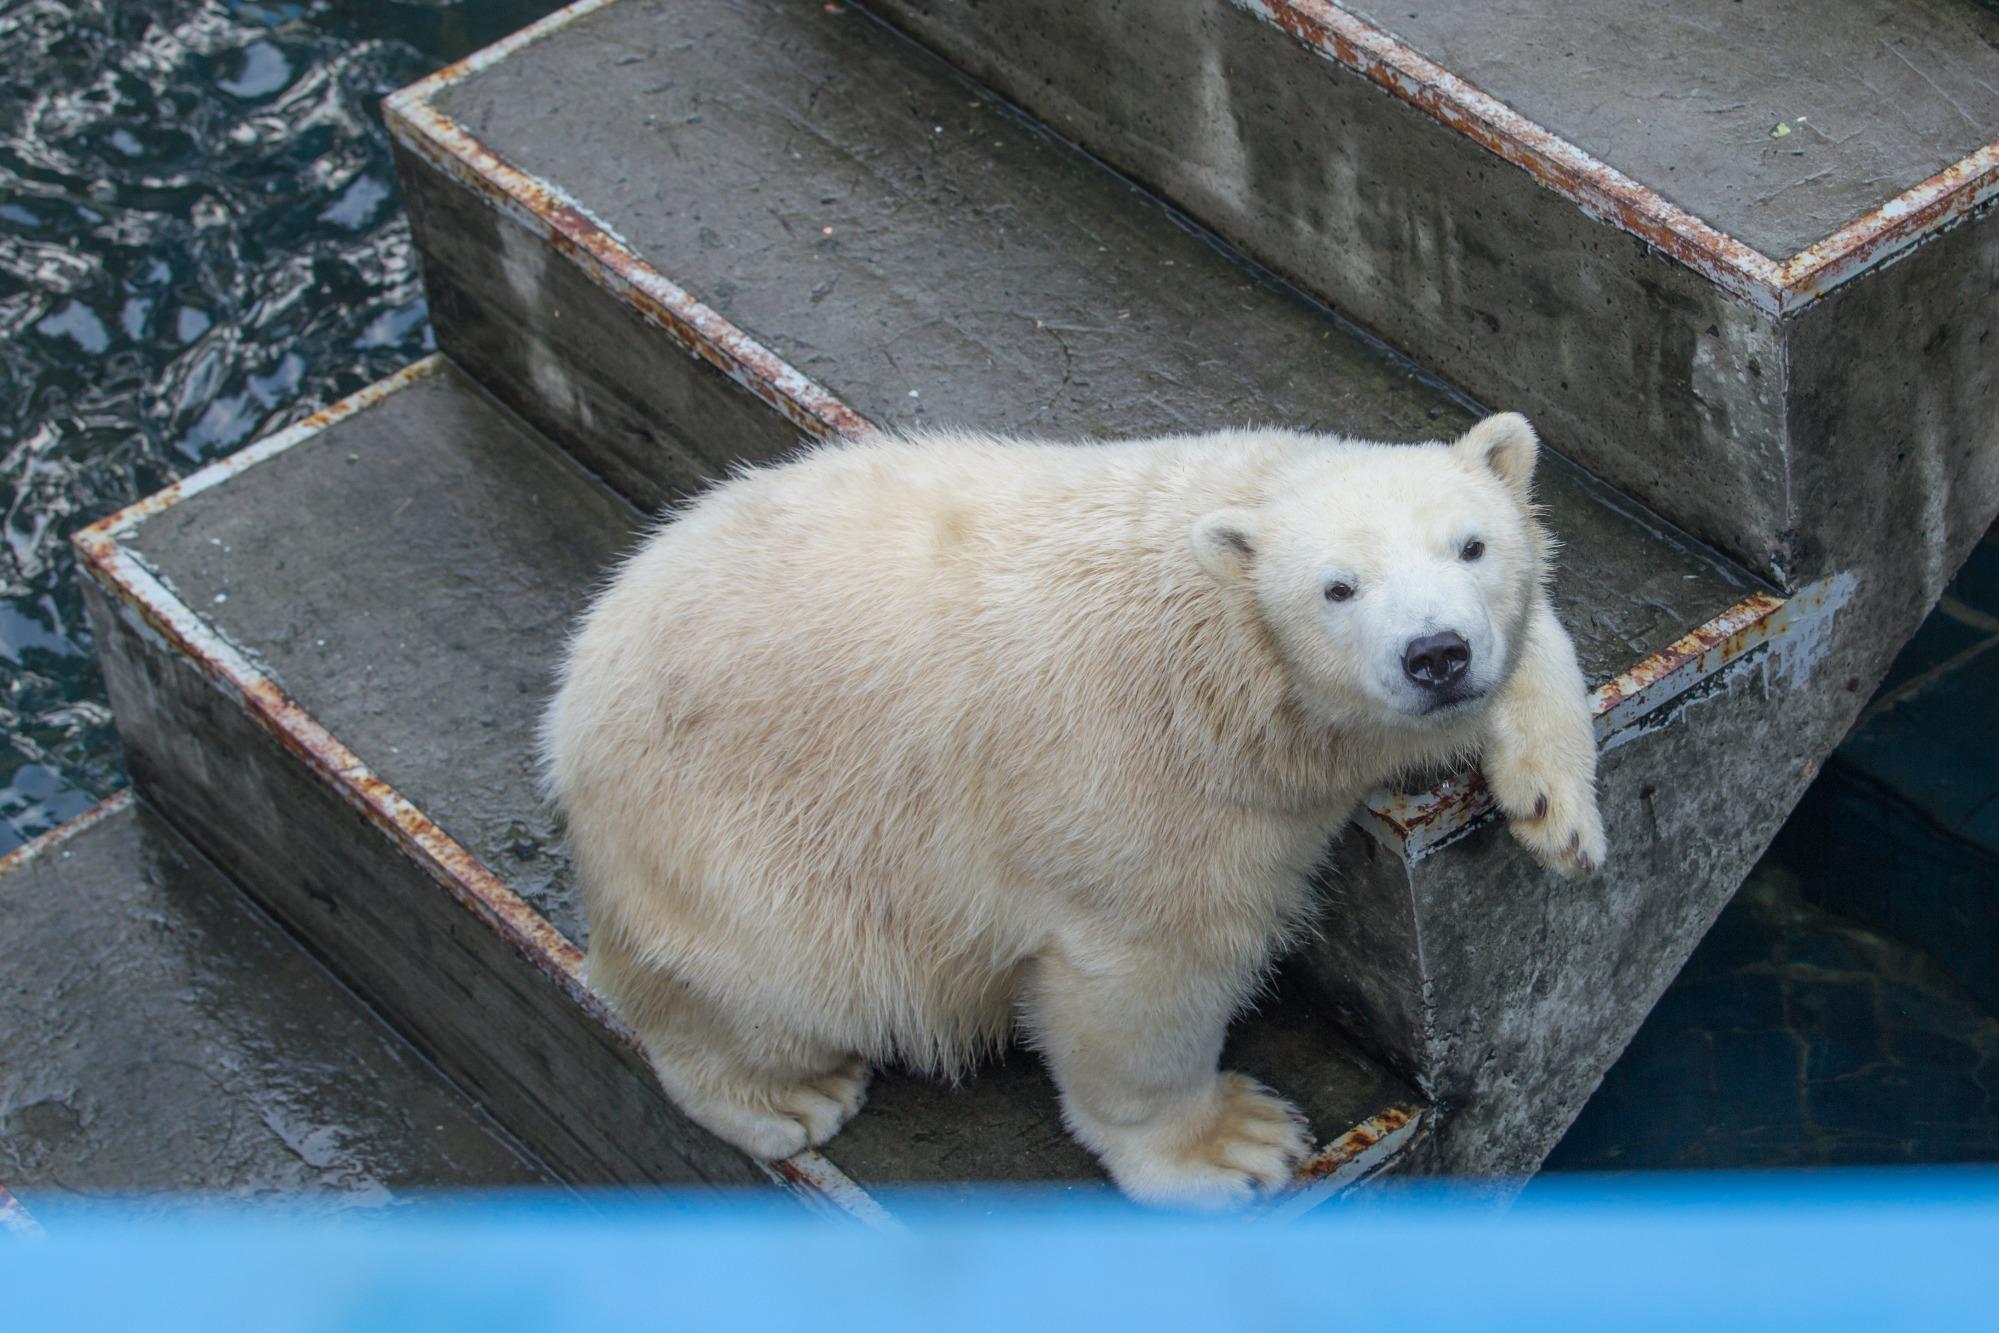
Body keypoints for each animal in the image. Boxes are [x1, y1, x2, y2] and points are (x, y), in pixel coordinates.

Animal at [547, 417, 1607, 1207]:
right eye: (1336, 586)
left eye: (1470, 544)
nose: (1435, 652)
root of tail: (569, 709)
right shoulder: (1140, 784)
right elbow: (1150, 971)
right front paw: (1232, 1144)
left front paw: (1555, 808)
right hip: (746, 851)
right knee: (769, 982)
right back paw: (791, 1096)